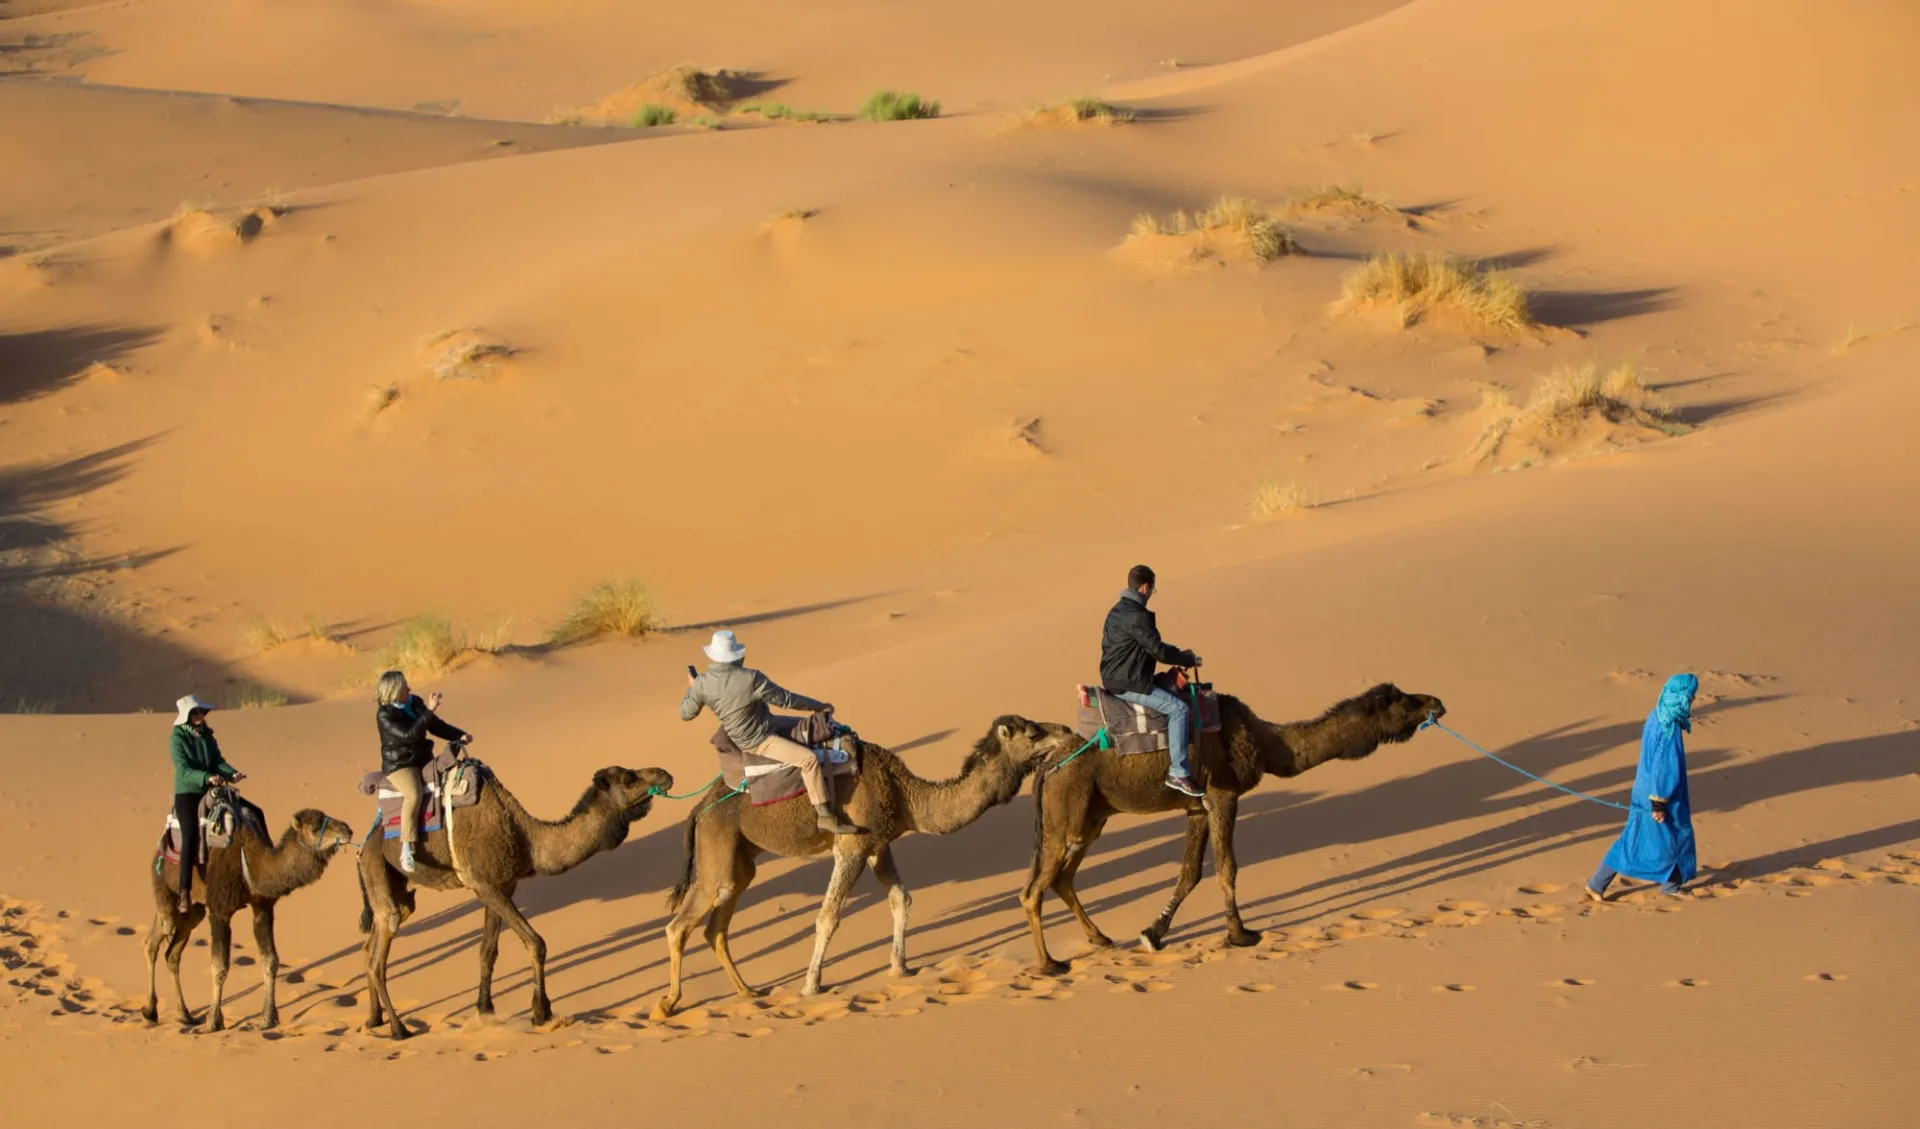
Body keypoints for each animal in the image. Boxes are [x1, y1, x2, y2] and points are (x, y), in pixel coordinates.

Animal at [142, 802, 357, 1029]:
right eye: (314, 828)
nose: (347, 830)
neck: (252, 864)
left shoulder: (263, 907)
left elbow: (270, 960)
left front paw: (268, 1018)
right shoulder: (220, 911)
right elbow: (219, 966)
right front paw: (213, 1021)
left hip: (194, 909)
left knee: (170, 952)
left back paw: (181, 1015)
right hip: (166, 890)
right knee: (157, 938)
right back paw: (152, 1011)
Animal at [359, 764, 675, 1036]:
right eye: (628, 779)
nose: (665, 774)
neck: (526, 839)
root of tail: (364, 843)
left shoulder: (503, 885)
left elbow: (488, 951)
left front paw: (485, 1010)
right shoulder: (485, 885)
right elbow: (536, 943)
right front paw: (541, 1012)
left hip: (399, 890)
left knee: (376, 937)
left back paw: (374, 1019)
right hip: (377, 868)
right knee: (377, 957)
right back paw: (398, 1029)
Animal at [652, 718, 1082, 1021]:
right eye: (1033, 732)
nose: (1066, 731)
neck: (905, 793)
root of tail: (698, 808)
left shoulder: (879, 844)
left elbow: (901, 898)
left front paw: (900, 967)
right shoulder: (852, 846)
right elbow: (828, 916)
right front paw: (811, 986)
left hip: (738, 858)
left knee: (715, 926)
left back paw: (748, 991)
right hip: (717, 848)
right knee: (679, 926)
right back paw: (667, 1004)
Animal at [1021, 683, 1443, 975]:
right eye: (1401, 699)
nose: (1436, 702)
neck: (1267, 742)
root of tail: (1046, 765)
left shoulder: (1196, 806)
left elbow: (1189, 873)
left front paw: (1154, 933)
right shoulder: (1223, 794)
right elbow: (1227, 868)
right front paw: (1240, 935)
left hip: (1091, 818)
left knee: (1062, 878)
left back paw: (1100, 939)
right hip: (1066, 813)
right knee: (1033, 891)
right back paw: (1050, 965)